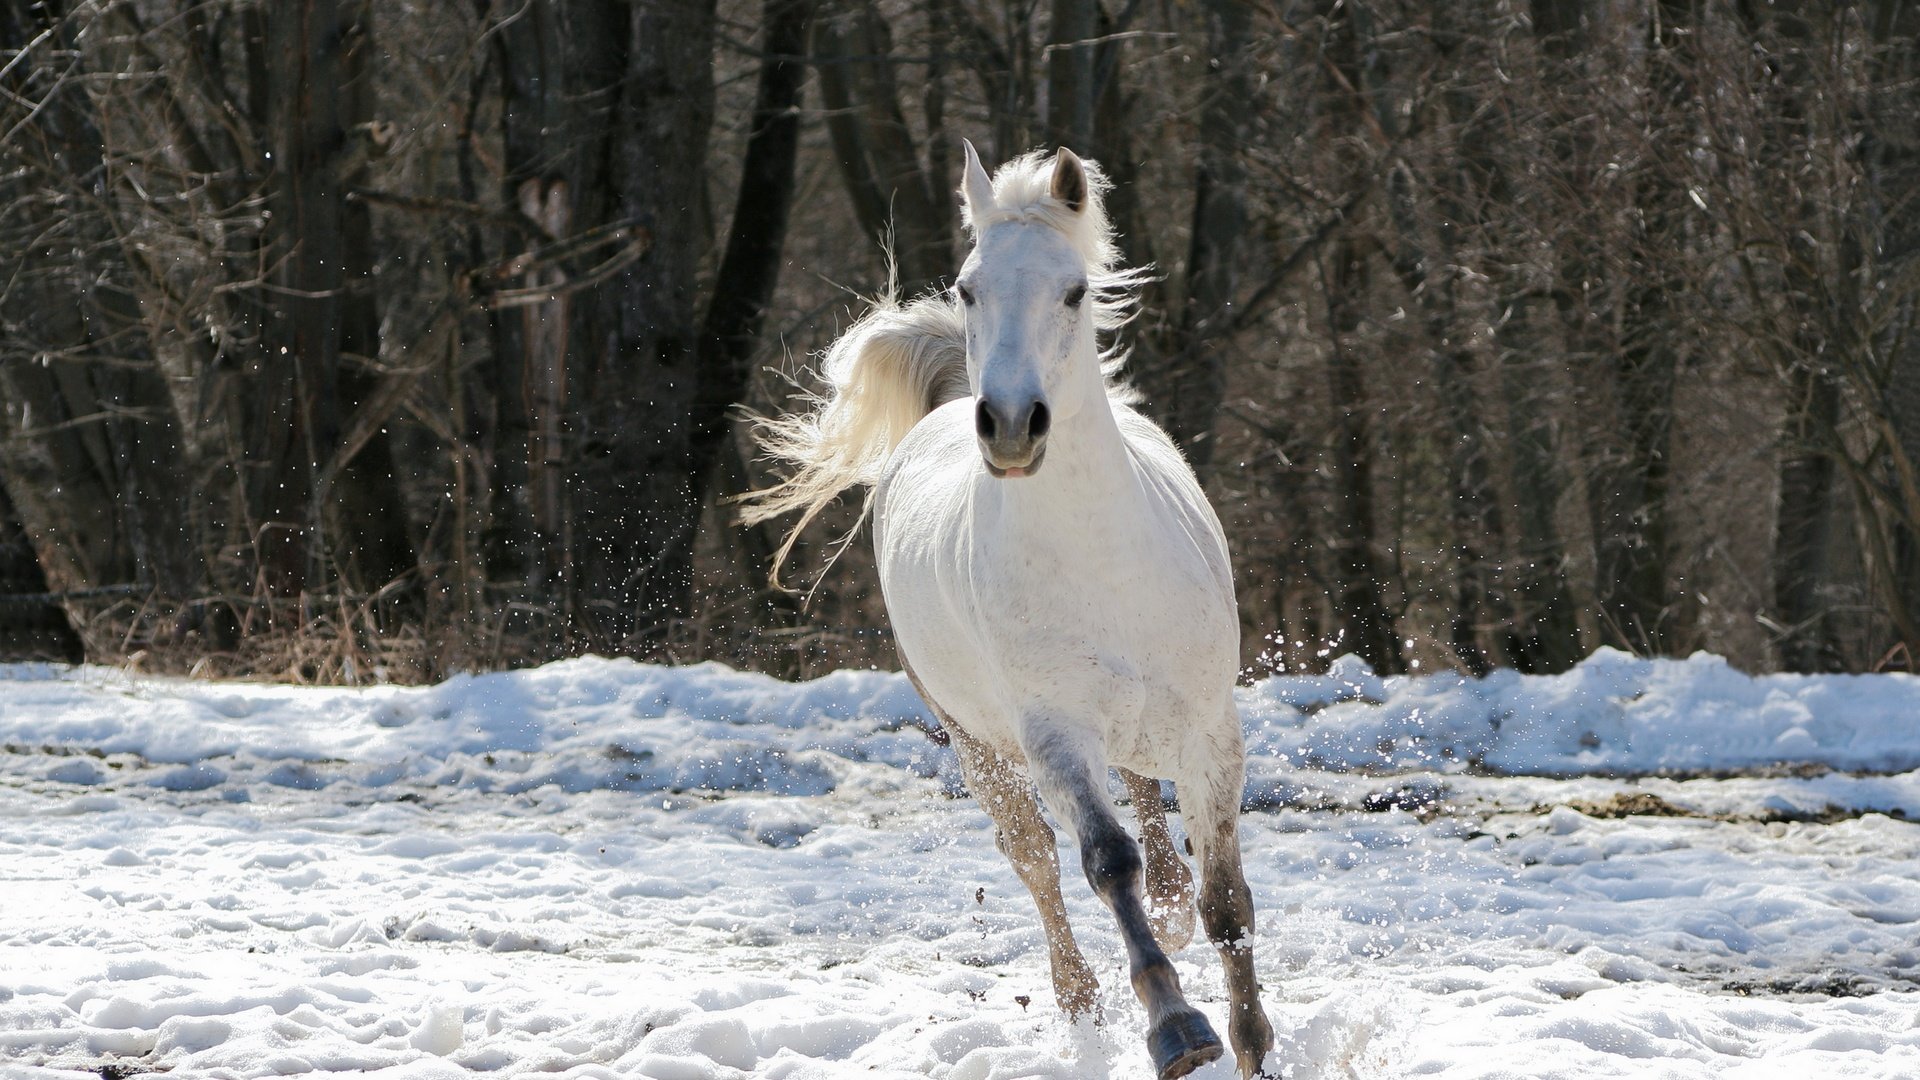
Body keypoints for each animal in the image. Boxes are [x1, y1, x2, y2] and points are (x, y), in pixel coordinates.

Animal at [748, 143, 1274, 1076]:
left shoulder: (1212, 727)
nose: (1012, 427)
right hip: (977, 740)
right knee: (1037, 859)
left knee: (1147, 807)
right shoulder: (1053, 734)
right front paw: (1177, 1028)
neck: (1100, 555)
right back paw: (1081, 1000)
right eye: (968, 288)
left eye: (1074, 290)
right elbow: (1105, 862)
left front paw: (1250, 1041)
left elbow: (1225, 901)